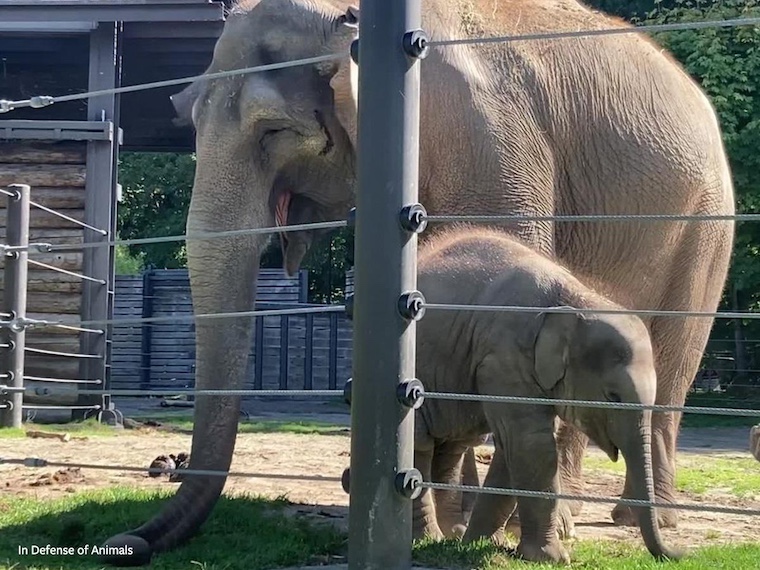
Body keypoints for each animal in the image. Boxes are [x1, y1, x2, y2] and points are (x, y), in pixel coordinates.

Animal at [412, 225, 683, 563]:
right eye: (613, 395)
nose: (679, 552)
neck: (575, 297)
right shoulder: (504, 357)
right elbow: (531, 445)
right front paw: (551, 557)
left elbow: (512, 451)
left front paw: (483, 545)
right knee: (420, 445)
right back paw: (426, 539)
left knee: (452, 448)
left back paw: (450, 536)